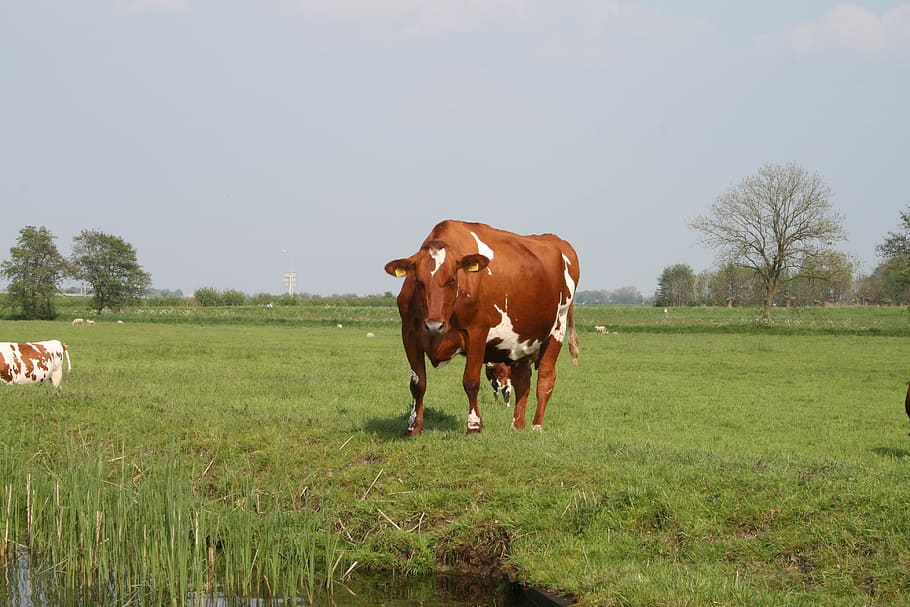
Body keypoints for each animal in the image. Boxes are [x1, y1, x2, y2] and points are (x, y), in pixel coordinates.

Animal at [385, 220, 579, 435]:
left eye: (452, 279)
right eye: (418, 282)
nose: (434, 325)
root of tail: (557, 241)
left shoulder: (477, 333)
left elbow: (471, 381)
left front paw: (474, 426)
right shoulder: (409, 334)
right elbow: (417, 383)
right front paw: (413, 427)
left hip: (558, 328)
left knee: (545, 379)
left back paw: (536, 425)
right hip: (523, 342)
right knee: (522, 382)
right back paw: (517, 425)